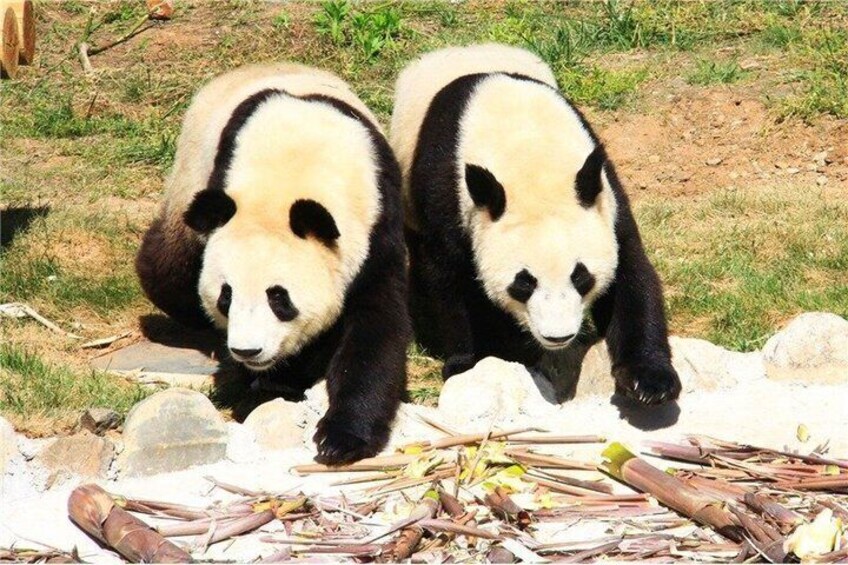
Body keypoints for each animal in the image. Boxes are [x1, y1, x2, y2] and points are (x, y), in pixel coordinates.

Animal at [136, 63, 411, 464]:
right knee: (167, 267)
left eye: (279, 298)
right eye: (226, 296)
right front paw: (268, 384)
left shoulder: (378, 225)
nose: (247, 351)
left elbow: (375, 328)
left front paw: (342, 439)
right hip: (190, 175)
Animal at [390, 44, 681, 405]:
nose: (559, 336)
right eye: (524, 283)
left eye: (581, 277)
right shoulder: (449, 195)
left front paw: (649, 382)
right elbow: (449, 281)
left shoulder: (604, 197)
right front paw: (467, 363)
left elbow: (631, 276)